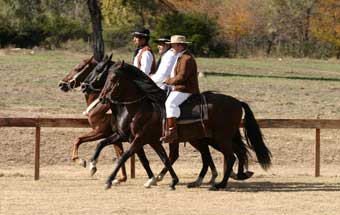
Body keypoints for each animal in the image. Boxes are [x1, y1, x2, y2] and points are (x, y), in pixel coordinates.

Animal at [58, 54, 127, 184]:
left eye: (78, 68)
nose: (61, 84)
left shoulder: (100, 132)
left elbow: (78, 139)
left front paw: (81, 161)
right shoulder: (115, 137)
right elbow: (120, 154)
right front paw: (121, 178)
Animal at [99, 60, 272, 190]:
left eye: (113, 78)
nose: (102, 98)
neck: (142, 107)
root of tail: (236, 101)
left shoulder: (139, 139)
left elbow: (124, 156)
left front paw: (108, 180)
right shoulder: (150, 140)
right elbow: (164, 158)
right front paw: (170, 181)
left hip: (220, 139)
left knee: (230, 156)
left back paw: (220, 184)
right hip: (215, 139)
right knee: (235, 153)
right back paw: (233, 176)